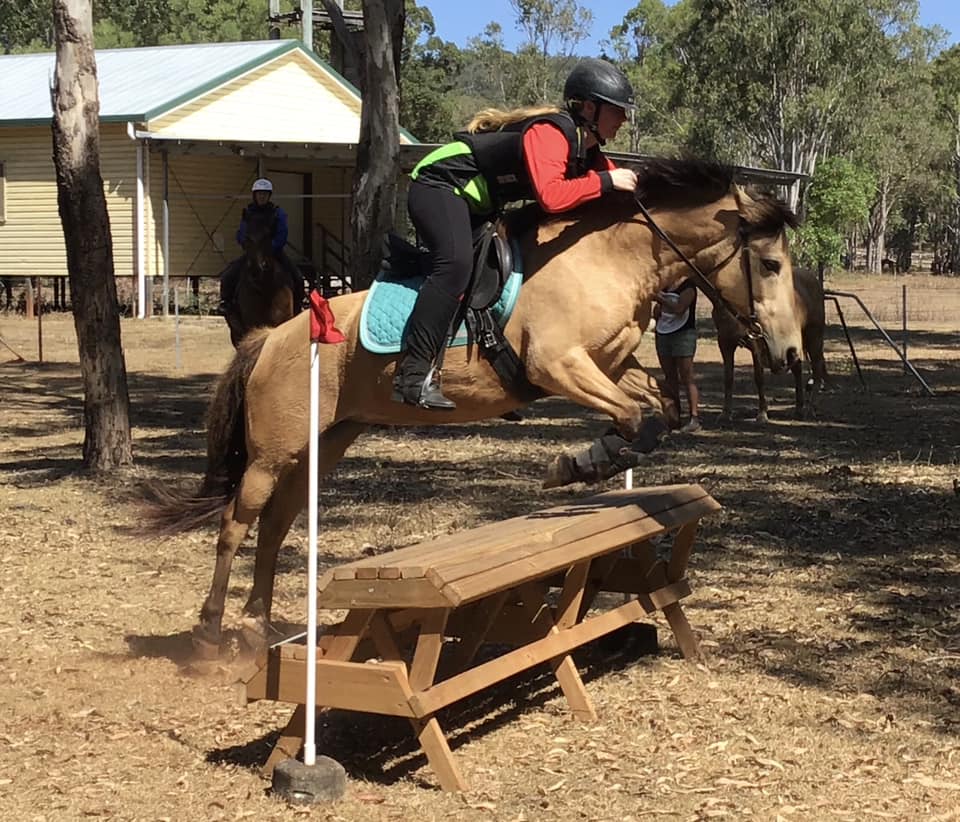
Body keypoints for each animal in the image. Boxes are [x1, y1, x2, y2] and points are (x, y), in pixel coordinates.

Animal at [146, 158, 808, 656]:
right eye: (771, 264)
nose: (789, 351)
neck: (611, 258)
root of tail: (269, 337)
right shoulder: (556, 365)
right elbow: (637, 419)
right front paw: (575, 466)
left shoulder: (613, 366)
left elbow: (655, 415)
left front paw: (586, 463)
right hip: (271, 452)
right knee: (237, 522)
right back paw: (210, 631)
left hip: (324, 442)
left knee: (277, 522)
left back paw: (257, 623)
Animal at [712, 268, 824, 424]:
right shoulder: (725, 343)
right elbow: (728, 378)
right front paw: (725, 413)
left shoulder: (756, 346)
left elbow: (759, 378)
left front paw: (762, 414)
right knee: (797, 368)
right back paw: (799, 409)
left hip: (814, 338)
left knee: (817, 371)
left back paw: (810, 409)